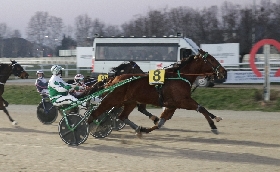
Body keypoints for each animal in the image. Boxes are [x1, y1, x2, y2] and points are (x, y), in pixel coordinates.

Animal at [87, 49, 228, 136]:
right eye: (212, 60)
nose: (224, 72)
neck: (180, 77)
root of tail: (113, 79)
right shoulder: (183, 101)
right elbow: (201, 108)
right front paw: (213, 127)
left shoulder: (172, 105)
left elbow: (160, 122)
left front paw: (144, 129)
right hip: (112, 99)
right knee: (95, 114)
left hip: (129, 102)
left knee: (121, 116)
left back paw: (137, 128)